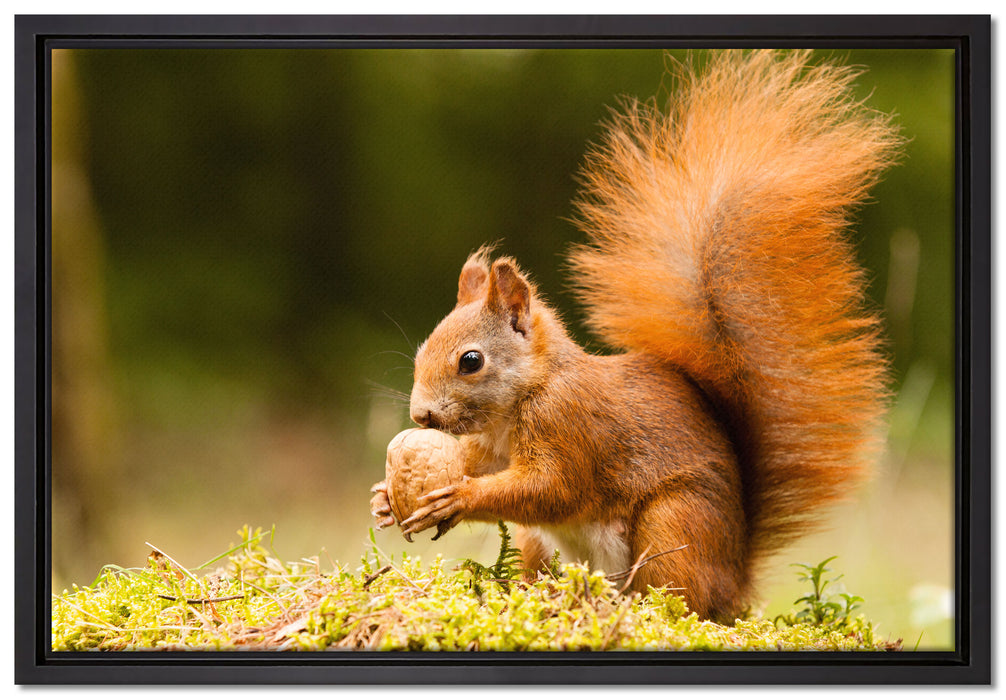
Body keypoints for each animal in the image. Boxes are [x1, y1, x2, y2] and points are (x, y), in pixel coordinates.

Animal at [370, 49, 902, 622]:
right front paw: (385, 496)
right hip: (545, 544)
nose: (421, 416)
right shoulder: (491, 448)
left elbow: (552, 488)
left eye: (471, 361)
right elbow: (481, 467)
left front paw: (459, 498)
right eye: (422, 351)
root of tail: (735, 581)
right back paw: (542, 595)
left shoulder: (569, 424)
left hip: (675, 522)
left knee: (676, 596)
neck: (522, 399)